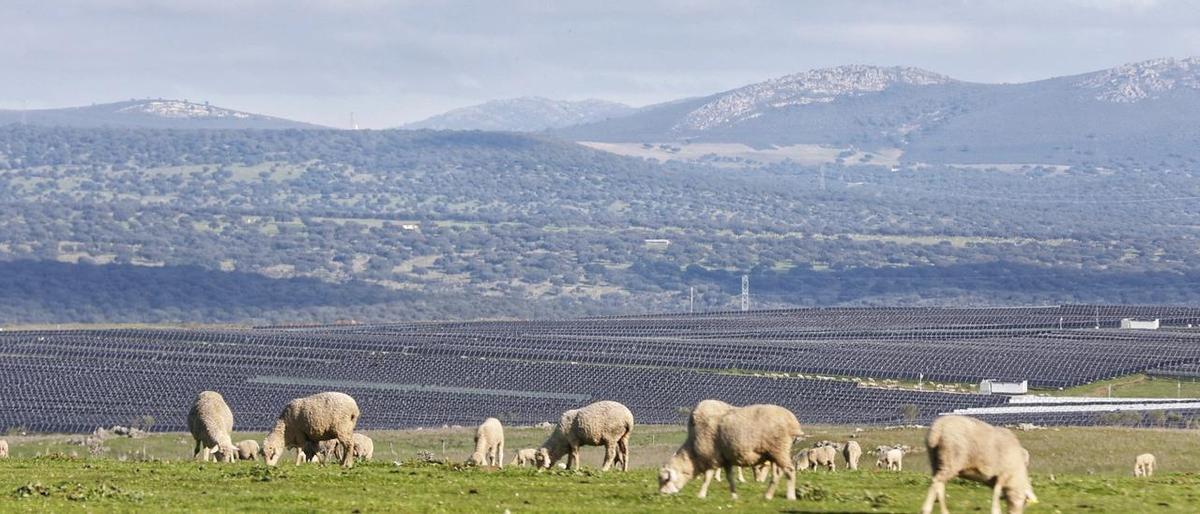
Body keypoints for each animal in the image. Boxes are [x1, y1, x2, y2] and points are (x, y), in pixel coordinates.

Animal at [657, 403, 806, 499]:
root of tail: (793, 422)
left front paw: (701, 495)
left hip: (779, 449)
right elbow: (729, 478)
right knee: (777, 474)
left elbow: (707, 477)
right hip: (775, 453)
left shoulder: (712, 457)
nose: (662, 494)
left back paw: (791, 496)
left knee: (790, 471)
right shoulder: (725, 459)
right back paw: (767, 496)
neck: (693, 454)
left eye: (665, 479)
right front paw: (734, 495)